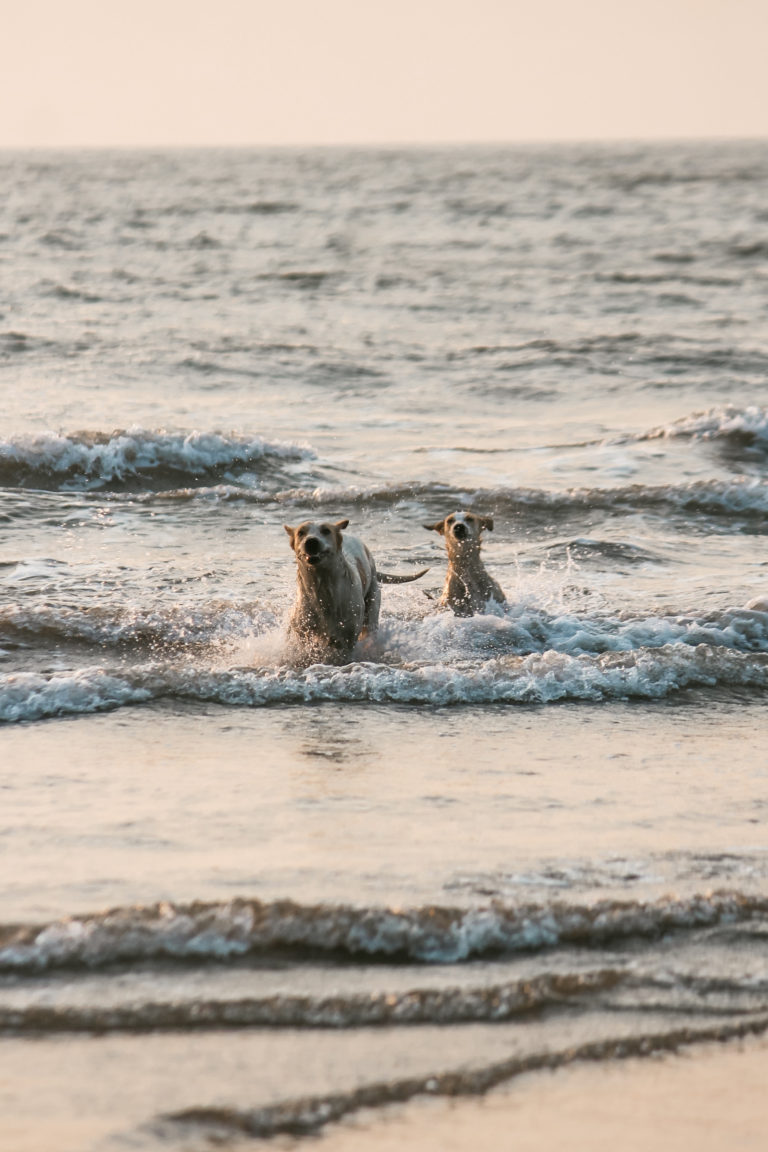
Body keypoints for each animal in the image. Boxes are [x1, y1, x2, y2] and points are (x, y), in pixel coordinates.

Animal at [285, 518, 430, 663]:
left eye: (326, 531)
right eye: (301, 533)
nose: (311, 541)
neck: (323, 589)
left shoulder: (348, 637)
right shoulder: (304, 633)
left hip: (372, 608)